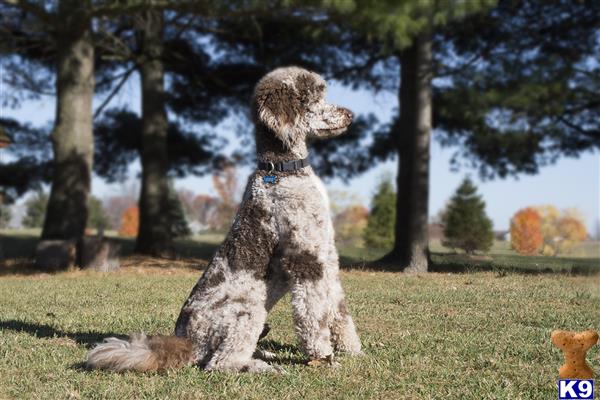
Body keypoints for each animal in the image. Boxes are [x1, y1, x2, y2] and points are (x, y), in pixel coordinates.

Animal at [87, 65, 364, 372]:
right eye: (314, 97)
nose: (351, 115)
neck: (282, 171)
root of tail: (188, 341)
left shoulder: (327, 256)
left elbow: (338, 309)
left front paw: (352, 349)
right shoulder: (306, 259)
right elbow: (314, 315)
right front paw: (323, 357)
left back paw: (264, 355)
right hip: (247, 310)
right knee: (220, 363)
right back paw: (263, 368)